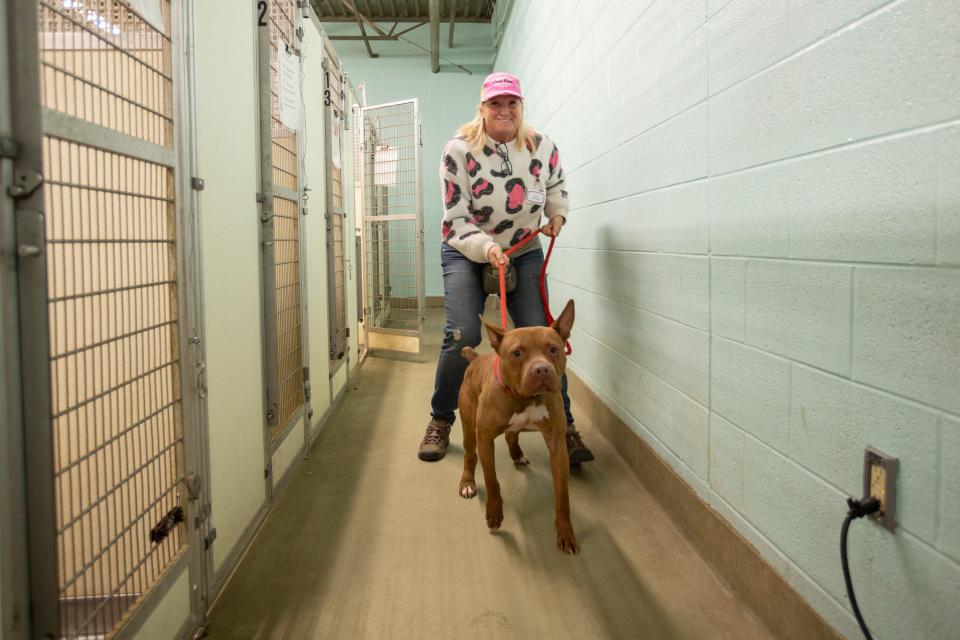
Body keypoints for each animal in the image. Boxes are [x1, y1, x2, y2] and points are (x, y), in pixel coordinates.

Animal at [458, 302, 576, 556]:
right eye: (517, 353)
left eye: (553, 349)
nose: (542, 369)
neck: (525, 398)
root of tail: (475, 359)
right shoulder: (484, 439)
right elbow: (492, 482)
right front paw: (494, 514)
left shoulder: (557, 444)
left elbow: (562, 495)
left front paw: (565, 532)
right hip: (469, 427)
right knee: (469, 455)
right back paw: (467, 483)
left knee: (512, 434)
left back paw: (517, 454)